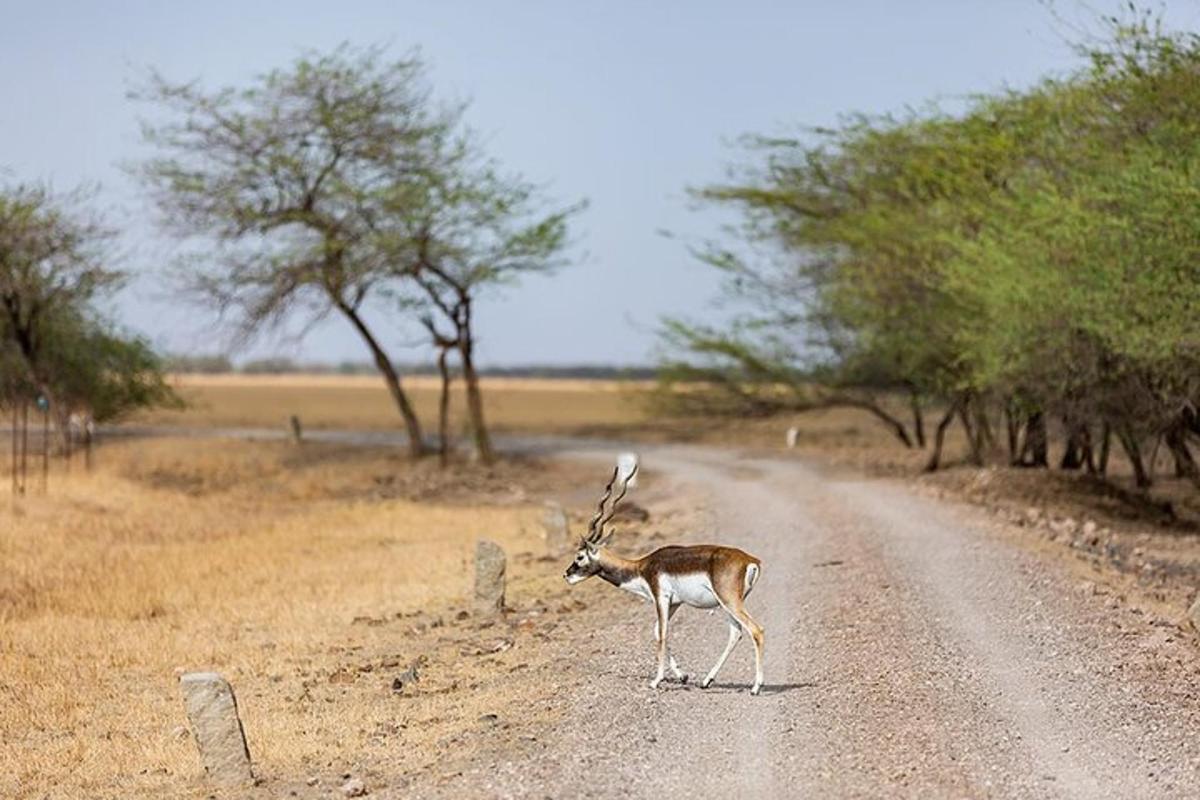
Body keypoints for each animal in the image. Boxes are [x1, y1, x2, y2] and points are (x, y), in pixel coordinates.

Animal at [564, 462, 768, 695]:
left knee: (756, 630)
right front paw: (682, 676)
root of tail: (750, 560)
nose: (567, 574)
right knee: (736, 633)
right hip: (726, 604)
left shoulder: (660, 597)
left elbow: (662, 633)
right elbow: (657, 630)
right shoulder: (675, 602)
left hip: (729, 601)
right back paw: (707, 681)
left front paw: (656, 680)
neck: (641, 567)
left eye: (580, 556)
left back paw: (756, 687)